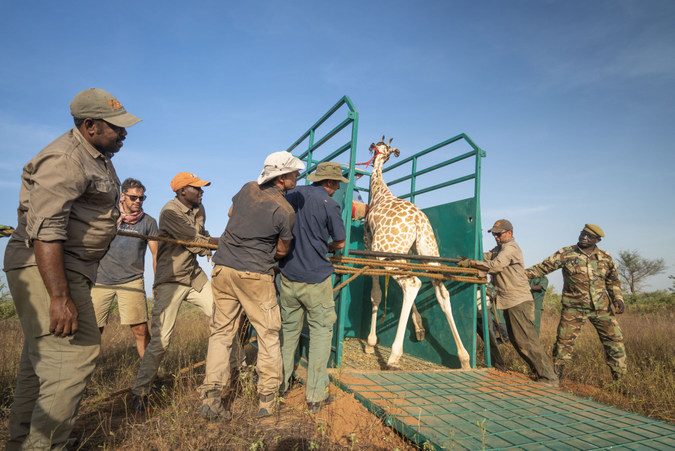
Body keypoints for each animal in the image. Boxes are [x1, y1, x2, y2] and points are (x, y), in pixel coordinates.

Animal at [364, 137, 470, 370]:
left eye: (376, 149)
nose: (375, 155)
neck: (378, 192)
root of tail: (418, 222)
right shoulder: (410, 254)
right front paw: (420, 328)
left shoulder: (369, 249)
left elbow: (376, 295)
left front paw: (370, 343)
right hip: (428, 253)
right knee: (441, 292)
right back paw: (464, 358)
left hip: (388, 253)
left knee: (413, 284)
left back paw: (394, 356)